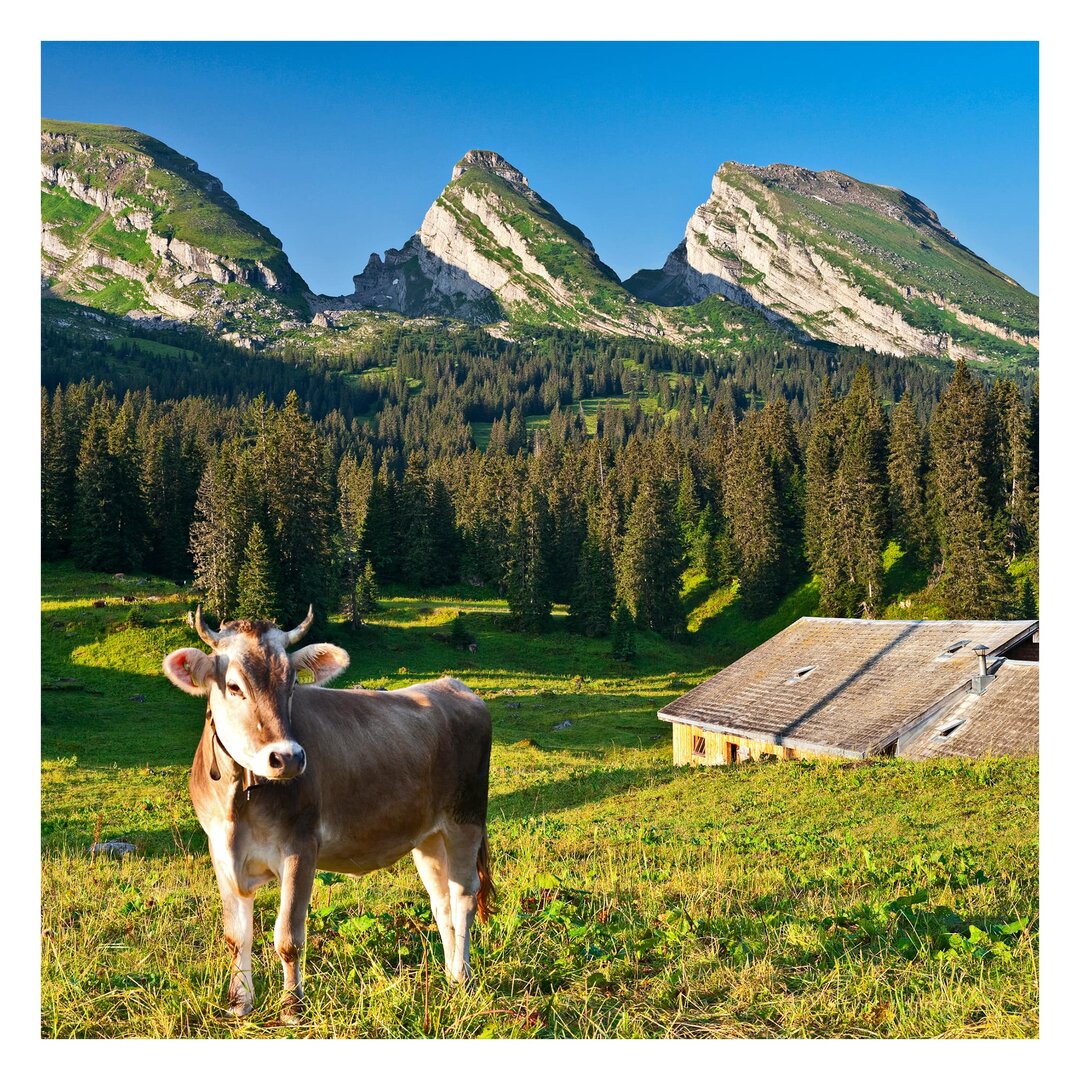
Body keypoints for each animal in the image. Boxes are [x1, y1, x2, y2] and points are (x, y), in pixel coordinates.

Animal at [160, 609, 494, 1019]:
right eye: (234, 686)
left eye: (292, 685)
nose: (287, 757)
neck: (239, 802)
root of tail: (454, 685)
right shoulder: (221, 851)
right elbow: (236, 936)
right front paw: (239, 1004)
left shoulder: (300, 847)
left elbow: (288, 936)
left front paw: (292, 1007)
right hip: (429, 837)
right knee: (442, 901)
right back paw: (450, 977)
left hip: (466, 819)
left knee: (463, 896)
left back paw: (462, 978)